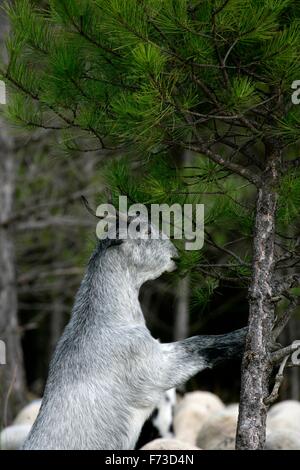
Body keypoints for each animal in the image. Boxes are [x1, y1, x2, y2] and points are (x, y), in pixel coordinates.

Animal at [22, 211, 246, 450]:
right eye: (145, 231)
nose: (175, 255)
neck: (105, 318)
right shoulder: (156, 367)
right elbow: (200, 343)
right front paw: (243, 336)